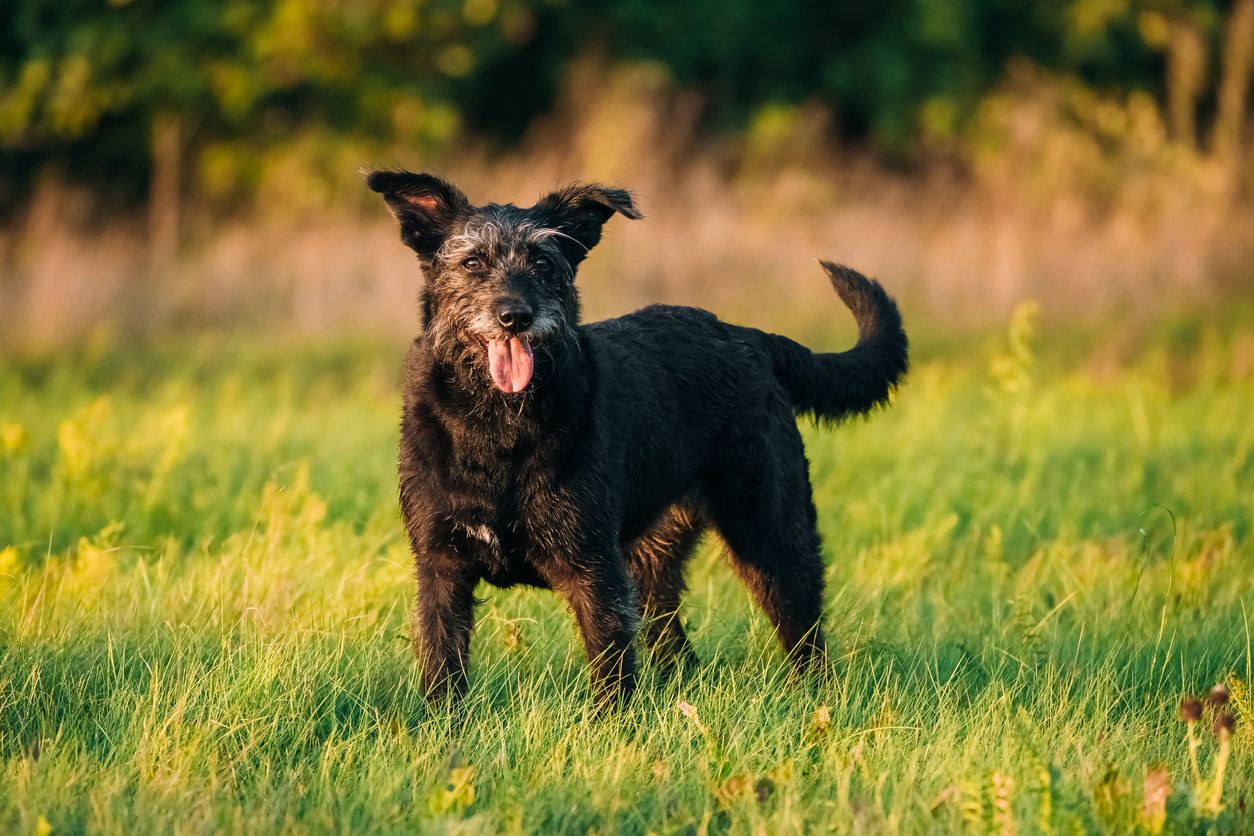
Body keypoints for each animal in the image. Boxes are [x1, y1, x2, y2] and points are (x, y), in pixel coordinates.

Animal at [366, 172, 907, 701]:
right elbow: (443, 666)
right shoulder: (441, 568)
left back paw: (816, 701)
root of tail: (749, 336)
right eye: (472, 261)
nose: (515, 315)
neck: (498, 426)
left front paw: (613, 726)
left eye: (543, 261)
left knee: (803, 631)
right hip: (654, 556)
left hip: (771, 531)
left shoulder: (594, 568)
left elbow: (611, 667)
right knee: (672, 637)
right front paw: (443, 724)